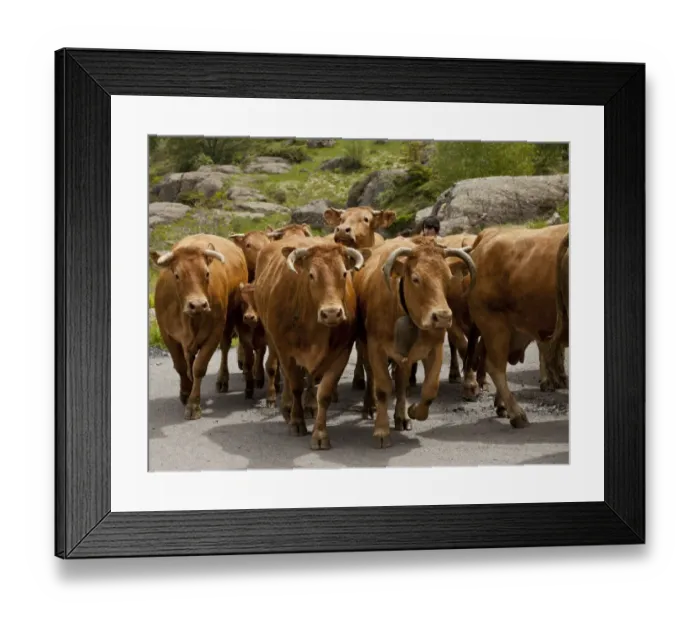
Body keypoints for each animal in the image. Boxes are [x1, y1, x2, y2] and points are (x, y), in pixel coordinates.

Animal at [149, 233, 248, 420]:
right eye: (177, 275)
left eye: (207, 273)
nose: (198, 305)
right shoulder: (167, 335)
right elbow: (180, 365)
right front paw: (185, 392)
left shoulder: (214, 332)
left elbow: (199, 367)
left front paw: (193, 404)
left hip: (230, 317)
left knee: (225, 348)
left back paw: (222, 379)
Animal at [253, 236, 371, 449]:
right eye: (311, 275)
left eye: (344, 273)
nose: (331, 313)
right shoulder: (286, 350)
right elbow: (295, 385)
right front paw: (296, 422)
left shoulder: (341, 352)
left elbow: (324, 393)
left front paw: (320, 434)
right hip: (274, 341)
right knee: (286, 376)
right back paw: (287, 407)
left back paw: (309, 405)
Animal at [353, 236, 477, 448]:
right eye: (416, 278)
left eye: (447, 278)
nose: (443, 317)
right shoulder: (376, 348)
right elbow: (383, 388)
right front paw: (381, 431)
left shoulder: (434, 348)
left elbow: (430, 389)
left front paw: (413, 411)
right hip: (364, 345)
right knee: (371, 375)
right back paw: (369, 406)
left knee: (402, 383)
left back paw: (401, 417)